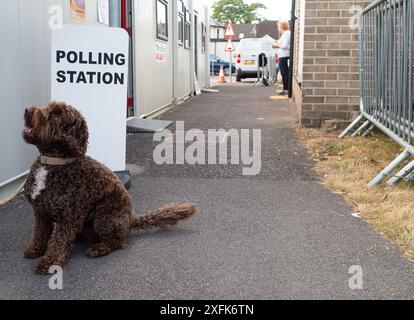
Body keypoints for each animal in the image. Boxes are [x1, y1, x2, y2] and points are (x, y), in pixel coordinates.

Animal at [22, 101, 197, 274]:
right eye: (48, 107)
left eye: (57, 114)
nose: (27, 110)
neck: (53, 163)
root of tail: (130, 220)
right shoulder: (40, 212)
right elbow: (40, 233)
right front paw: (35, 249)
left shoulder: (69, 217)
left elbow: (59, 241)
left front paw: (49, 262)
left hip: (105, 219)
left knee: (118, 242)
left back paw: (99, 248)